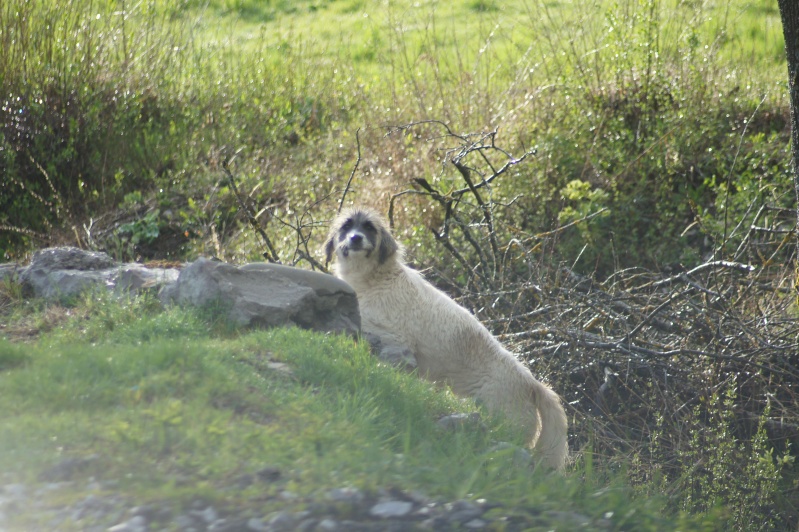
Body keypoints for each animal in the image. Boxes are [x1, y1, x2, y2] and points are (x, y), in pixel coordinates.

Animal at [324, 208, 568, 470]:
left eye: (369, 228)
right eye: (346, 227)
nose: (355, 238)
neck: (377, 278)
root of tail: (532, 383)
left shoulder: (392, 333)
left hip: (505, 421)